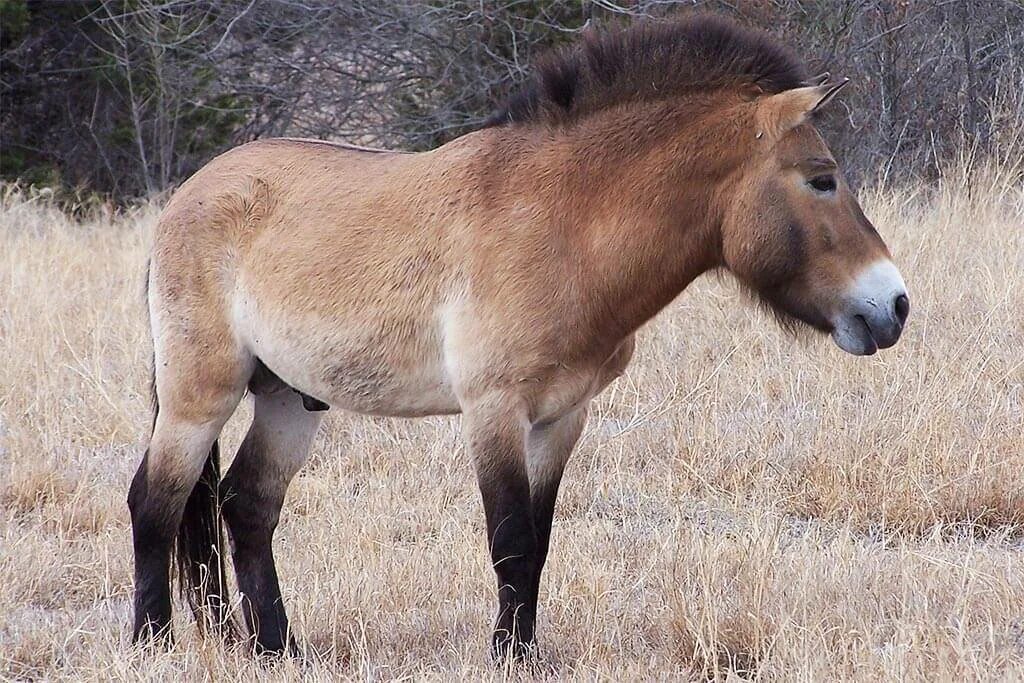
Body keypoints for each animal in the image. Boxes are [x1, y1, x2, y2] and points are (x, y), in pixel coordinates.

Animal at [130, 14, 913, 655]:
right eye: (821, 178)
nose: (894, 305)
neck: (566, 225)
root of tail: (185, 199)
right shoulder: (494, 410)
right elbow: (508, 539)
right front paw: (506, 654)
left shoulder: (563, 416)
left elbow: (536, 544)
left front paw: (526, 650)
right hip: (200, 396)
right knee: (156, 501)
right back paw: (153, 640)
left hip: (289, 398)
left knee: (246, 506)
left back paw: (279, 648)